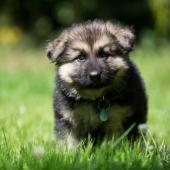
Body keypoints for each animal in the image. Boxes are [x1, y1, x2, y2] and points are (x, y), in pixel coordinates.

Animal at [46, 18, 147, 149]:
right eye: (81, 57)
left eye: (104, 55)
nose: (95, 75)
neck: (95, 99)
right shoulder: (67, 118)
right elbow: (69, 141)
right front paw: (68, 153)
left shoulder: (121, 118)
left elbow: (116, 141)